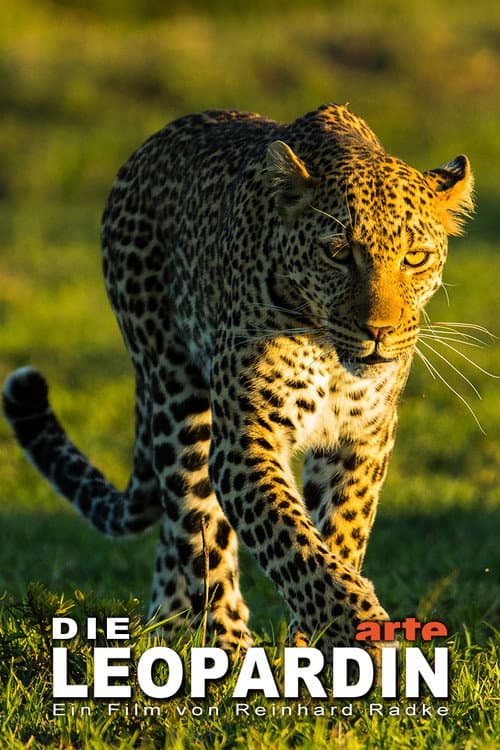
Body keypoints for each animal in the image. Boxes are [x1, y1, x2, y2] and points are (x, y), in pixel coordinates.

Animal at [3, 104, 473, 658]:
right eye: (338, 252)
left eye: (415, 258)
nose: (378, 330)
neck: (330, 352)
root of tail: (152, 143)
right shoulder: (245, 441)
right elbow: (292, 543)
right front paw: (355, 630)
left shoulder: (362, 439)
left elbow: (338, 536)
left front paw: (320, 646)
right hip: (178, 398)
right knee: (196, 526)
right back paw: (223, 645)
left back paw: (167, 627)